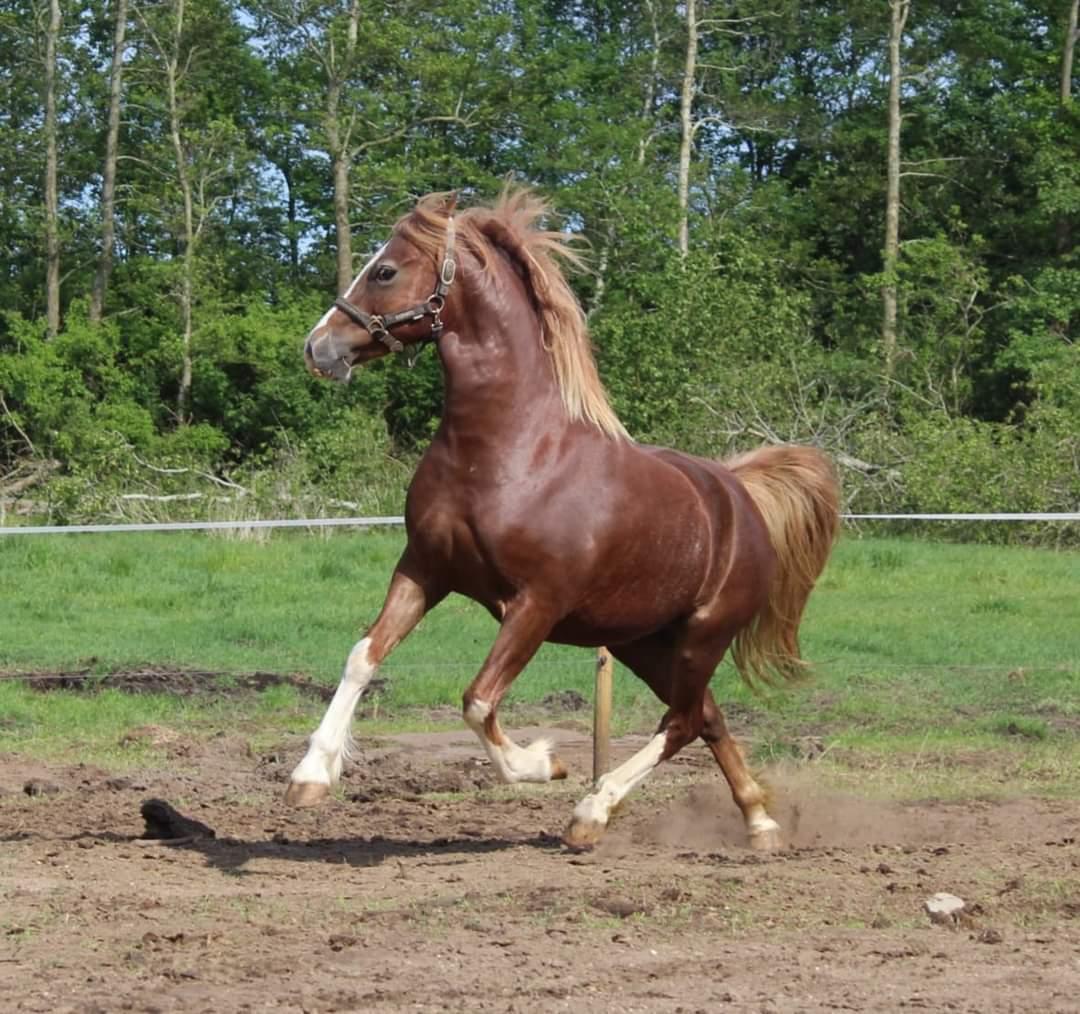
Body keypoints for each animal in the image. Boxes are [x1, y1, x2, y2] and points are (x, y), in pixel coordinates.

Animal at [289, 188, 840, 850]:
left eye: (386, 271)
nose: (317, 347)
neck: (510, 451)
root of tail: (739, 495)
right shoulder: (424, 569)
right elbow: (362, 656)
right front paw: (310, 776)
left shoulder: (536, 603)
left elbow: (477, 701)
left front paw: (545, 763)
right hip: (642, 643)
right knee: (706, 715)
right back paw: (759, 822)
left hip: (702, 637)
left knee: (681, 722)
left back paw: (592, 811)